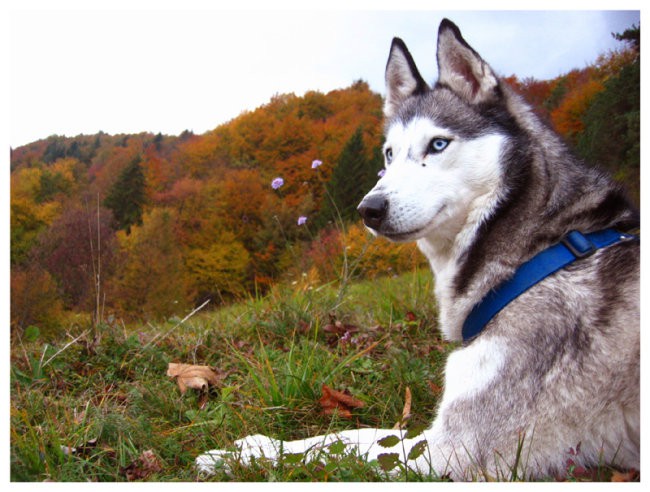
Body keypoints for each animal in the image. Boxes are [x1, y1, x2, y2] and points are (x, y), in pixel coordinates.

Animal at [194, 20, 636, 480]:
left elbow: (338, 443)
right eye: (389, 153)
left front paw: (244, 452)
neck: (538, 251)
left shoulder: (453, 451)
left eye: (437, 145)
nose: (369, 209)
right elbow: (359, 433)